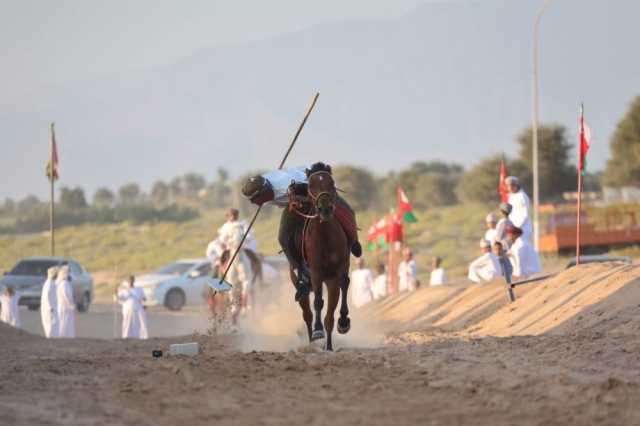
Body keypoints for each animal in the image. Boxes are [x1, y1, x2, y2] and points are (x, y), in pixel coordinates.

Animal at [296, 171, 350, 352]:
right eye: (311, 185)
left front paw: (342, 324)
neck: (325, 238)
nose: (325, 208)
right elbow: (318, 302)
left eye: (331, 183)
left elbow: (331, 311)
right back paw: (311, 341)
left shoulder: (336, 273)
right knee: (307, 313)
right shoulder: (316, 271)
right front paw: (317, 330)